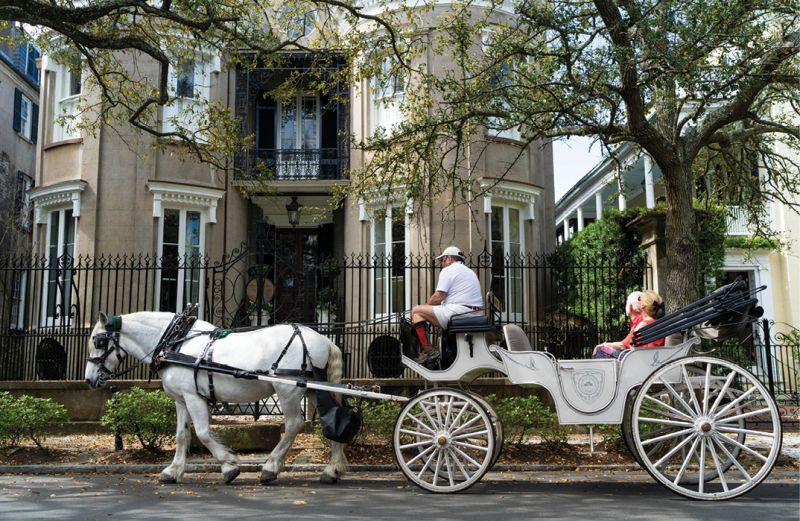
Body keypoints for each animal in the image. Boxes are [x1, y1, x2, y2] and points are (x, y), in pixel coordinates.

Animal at [84, 308, 346, 484]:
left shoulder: (194, 397)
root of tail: (322, 339)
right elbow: (182, 435)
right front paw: (173, 471)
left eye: (99, 342)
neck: (174, 343)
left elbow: (202, 433)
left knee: (294, 424)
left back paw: (270, 468)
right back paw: (332, 470)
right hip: (314, 389)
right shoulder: (181, 399)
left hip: (288, 390)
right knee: (333, 420)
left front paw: (229, 466)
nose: (88, 379)